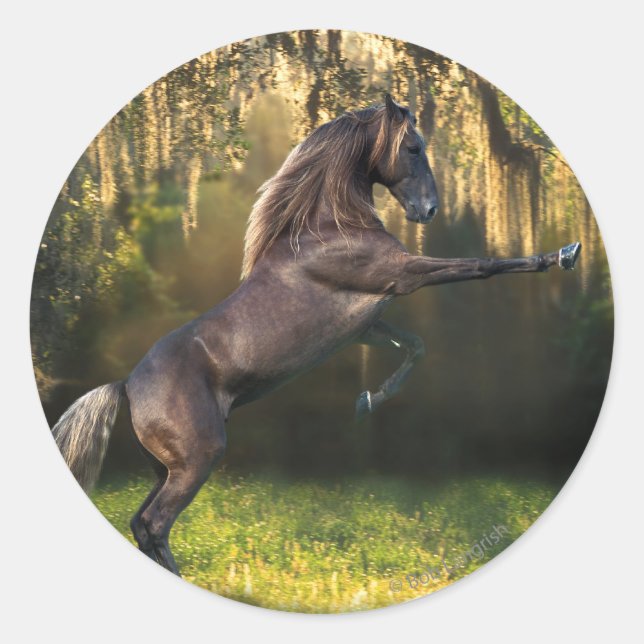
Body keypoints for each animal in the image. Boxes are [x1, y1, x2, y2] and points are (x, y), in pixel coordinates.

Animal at [51, 94, 581, 576]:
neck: (329, 227)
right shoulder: (403, 275)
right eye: (412, 147)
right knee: (155, 525)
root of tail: (126, 385)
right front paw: (563, 254)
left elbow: (414, 346)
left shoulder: (365, 324)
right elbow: (482, 265)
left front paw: (367, 401)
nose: (429, 210)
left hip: (165, 469)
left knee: (141, 524)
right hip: (196, 460)